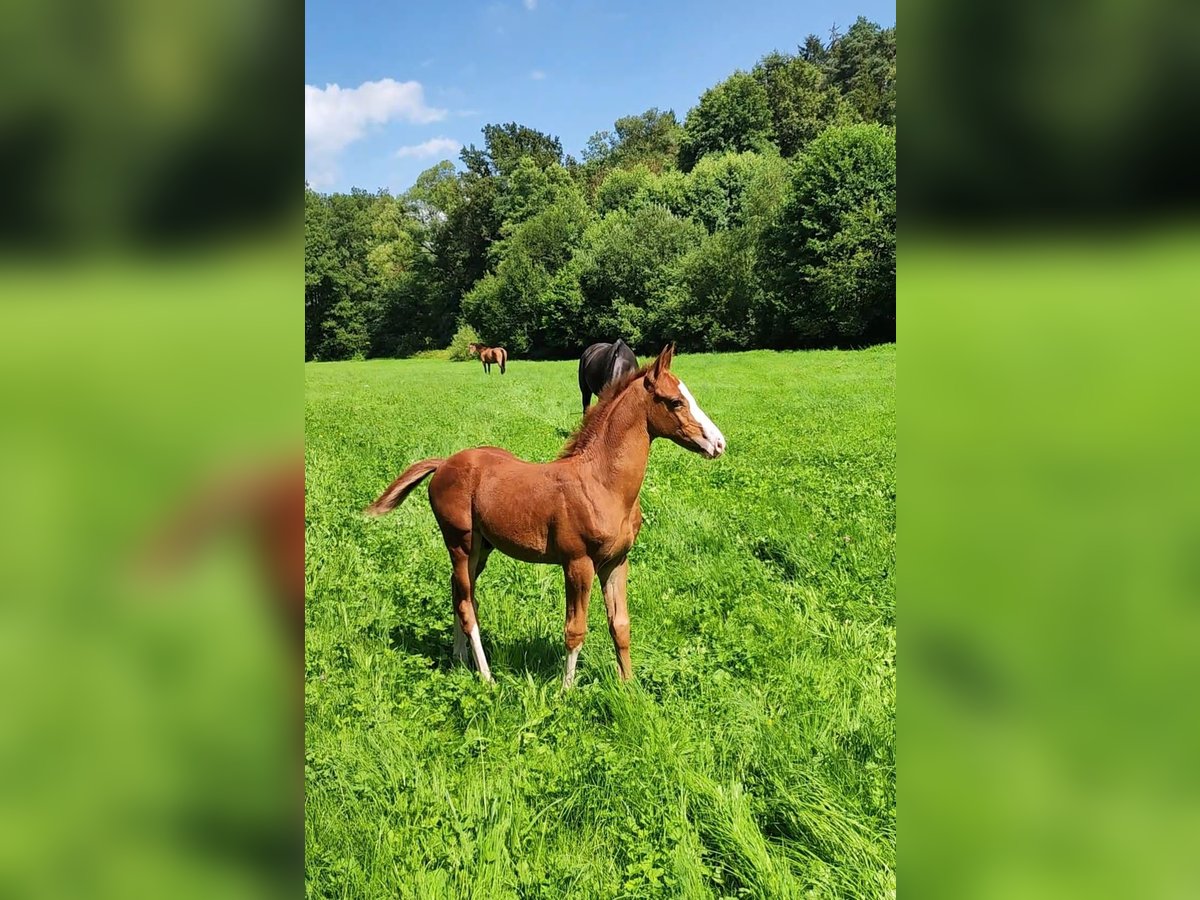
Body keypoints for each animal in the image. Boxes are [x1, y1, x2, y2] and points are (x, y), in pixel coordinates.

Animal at [364, 343, 720, 681]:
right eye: (675, 402)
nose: (718, 443)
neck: (602, 483)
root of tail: (444, 463)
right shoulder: (578, 564)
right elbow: (575, 631)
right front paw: (566, 691)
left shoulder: (617, 562)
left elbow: (620, 625)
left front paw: (629, 687)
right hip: (460, 543)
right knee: (466, 604)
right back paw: (487, 677)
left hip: (482, 547)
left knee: (460, 594)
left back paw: (460, 659)